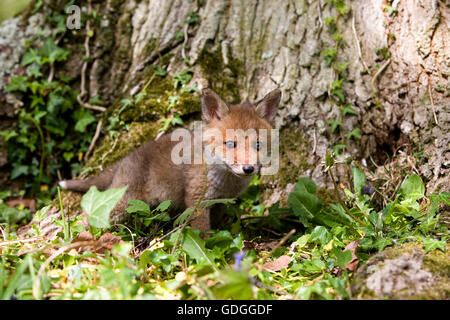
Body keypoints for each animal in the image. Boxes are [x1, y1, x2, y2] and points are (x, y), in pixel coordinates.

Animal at [58, 87, 280, 232]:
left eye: (258, 145)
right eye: (231, 144)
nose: (249, 169)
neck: (225, 181)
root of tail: (125, 159)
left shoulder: (219, 201)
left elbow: (217, 224)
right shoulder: (197, 200)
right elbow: (202, 234)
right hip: (122, 202)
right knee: (86, 217)